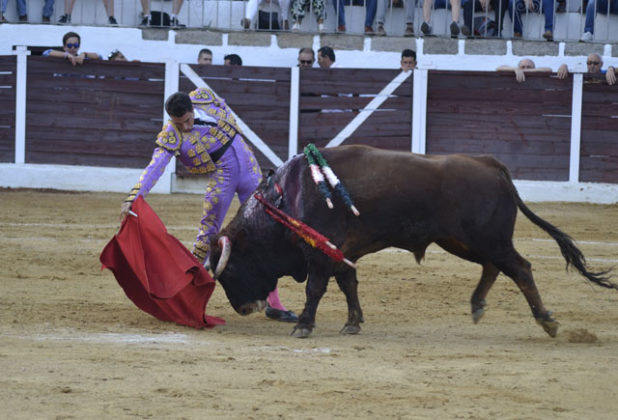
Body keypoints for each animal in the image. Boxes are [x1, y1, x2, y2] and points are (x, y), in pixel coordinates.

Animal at [209, 144, 612, 338]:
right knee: (494, 267)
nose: (244, 308)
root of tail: (490, 164)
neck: (286, 198)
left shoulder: (321, 254)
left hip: (487, 239)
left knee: (521, 268)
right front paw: (353, 322)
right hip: (462, 242)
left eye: (230, 272)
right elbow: (348, 283)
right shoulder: (341, 251)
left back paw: (546, 320)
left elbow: (316, 289)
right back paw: (478, 305)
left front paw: (304, 325)